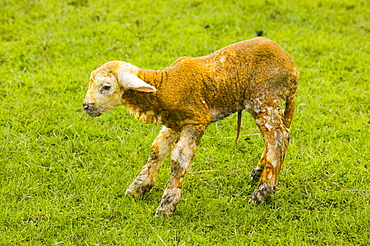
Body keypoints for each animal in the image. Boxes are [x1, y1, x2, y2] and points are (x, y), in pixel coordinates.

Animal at [82, 37, 300, 216]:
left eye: (106, 87)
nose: (86, 106)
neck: (163, 86)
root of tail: (292, 68)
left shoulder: (196, 119)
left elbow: (179, 160)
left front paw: (166, 206)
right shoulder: (174, 122)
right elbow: (157, 151)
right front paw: (137, 189)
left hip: (264, 98)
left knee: (279, 137)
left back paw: (262, 193)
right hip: (269, 102)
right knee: (278, 135)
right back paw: (258, 173)